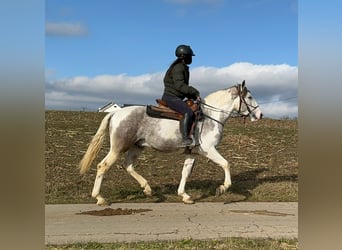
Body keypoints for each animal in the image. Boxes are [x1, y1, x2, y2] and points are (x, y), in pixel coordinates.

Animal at [79, 80, 264, 205]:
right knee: (103, 166)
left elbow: (185, 173)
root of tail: (116, 113)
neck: (211, 116)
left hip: (137, 147)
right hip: (118, 148)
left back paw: (147, 189)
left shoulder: (193, 153)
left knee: (128, 166)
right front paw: (222, 188)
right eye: (249, 97)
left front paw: (184, 195)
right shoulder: (209, 150)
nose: (260, 115)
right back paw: (100, 198)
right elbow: (226, 164)